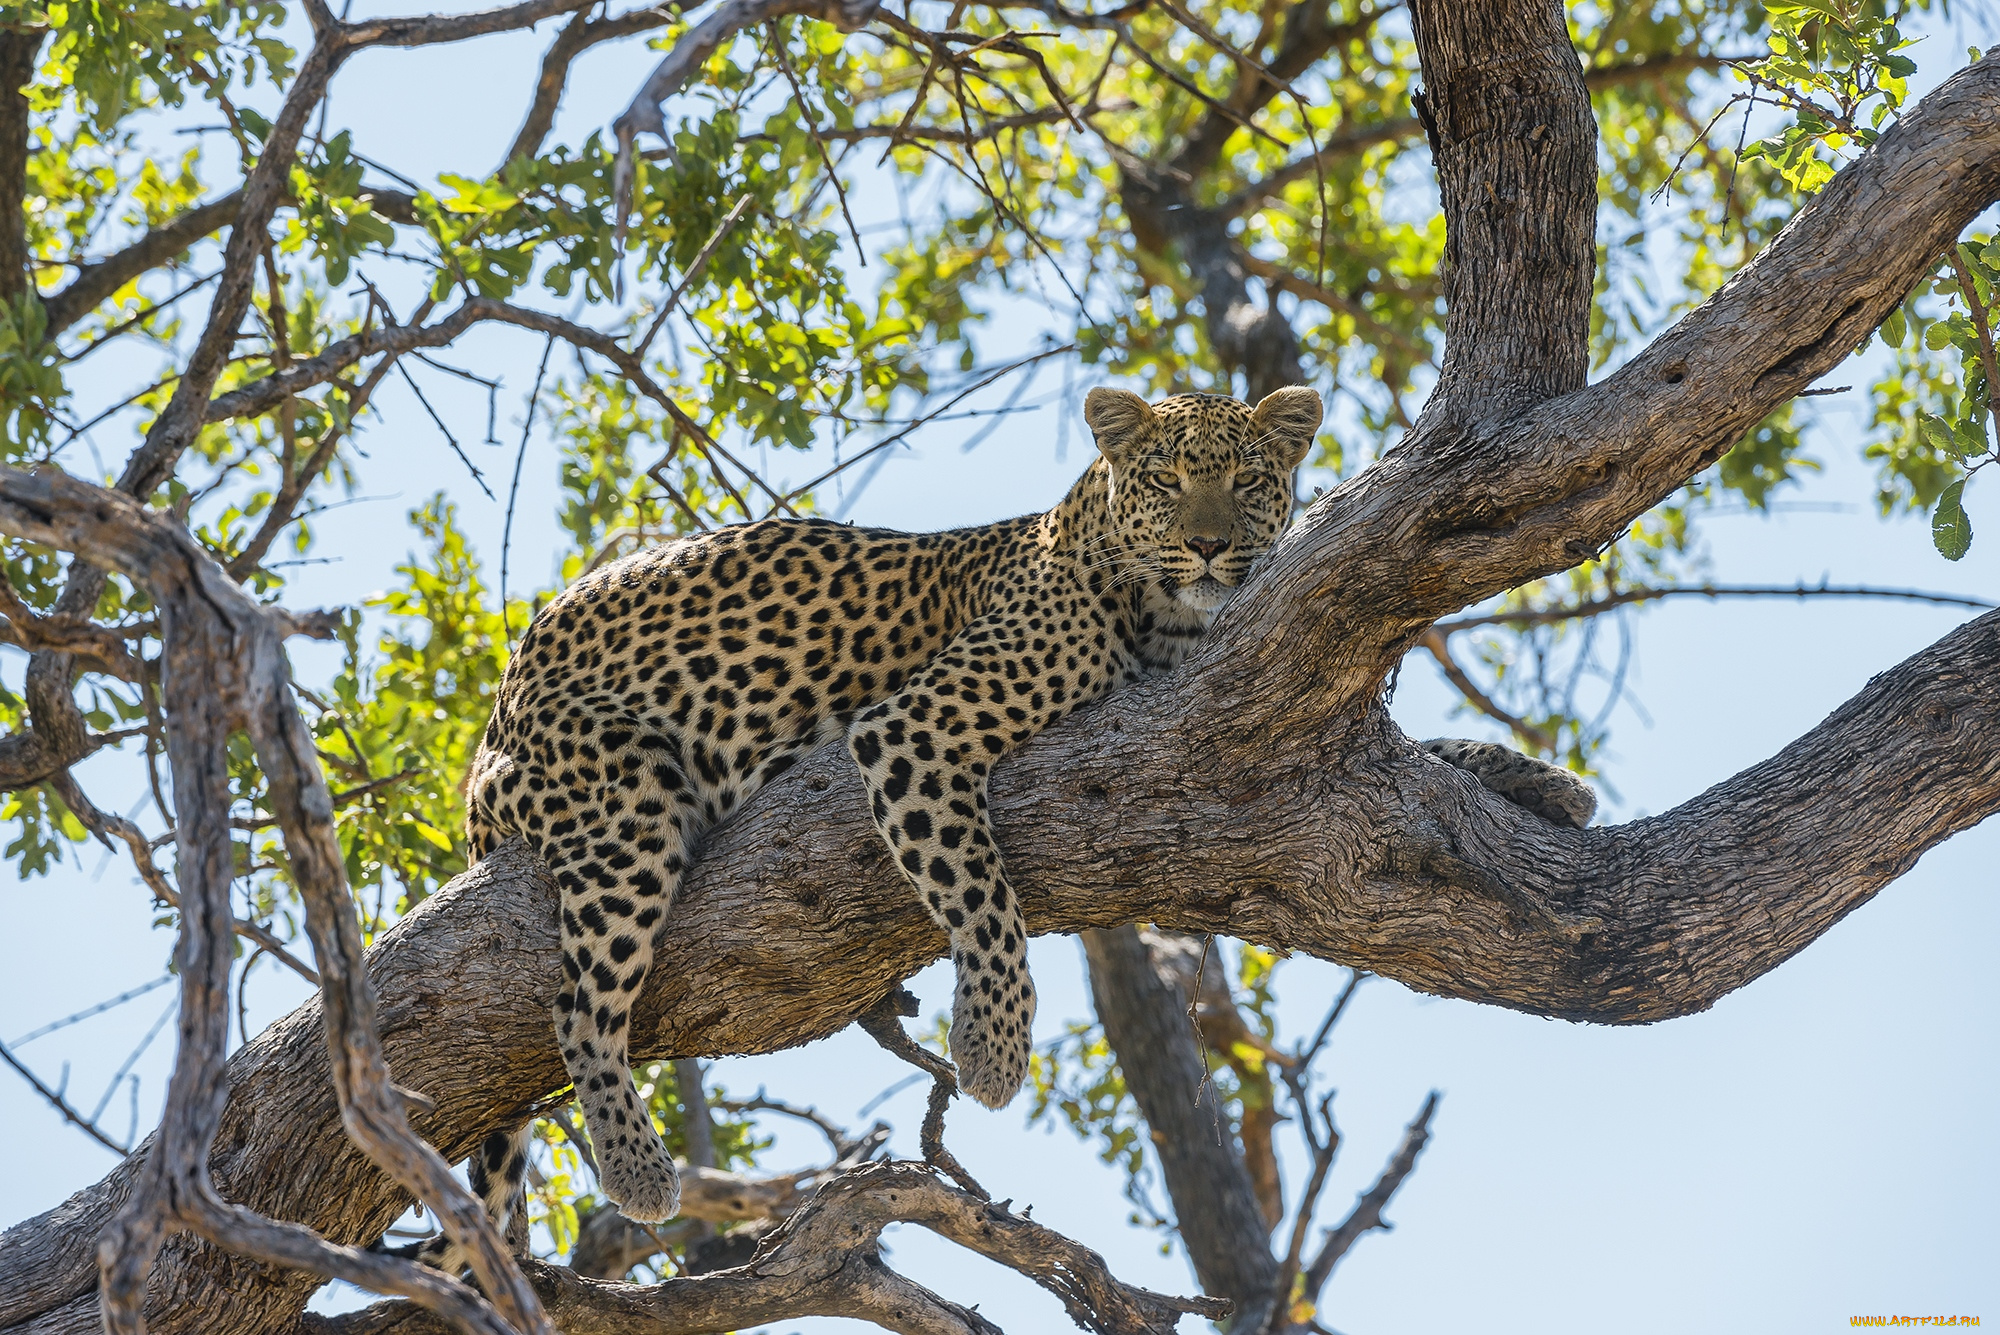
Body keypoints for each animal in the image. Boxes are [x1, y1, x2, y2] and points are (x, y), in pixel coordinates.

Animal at [430, 379, 1600, 1255]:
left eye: (1248, 480)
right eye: (1169, 479)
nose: (1210, 547)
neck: (1162, 613)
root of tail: (494, 715)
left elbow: (1427, 750)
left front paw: (1543, 780)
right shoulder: (912, 730)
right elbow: (982, 899)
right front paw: (991, 1050)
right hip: (624, 799)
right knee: (577, 1006)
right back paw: (638, 1170)